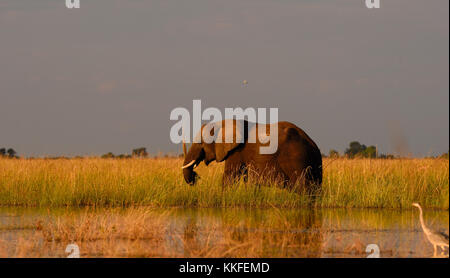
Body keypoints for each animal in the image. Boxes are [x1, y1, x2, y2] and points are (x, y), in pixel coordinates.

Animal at [181, 120, 322, 194]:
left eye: (200, 143)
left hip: (297, 158)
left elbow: (230, 176)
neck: (222, 122)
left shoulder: (237, 151)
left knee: (302, 186)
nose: (196, 177)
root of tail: (312, 144)